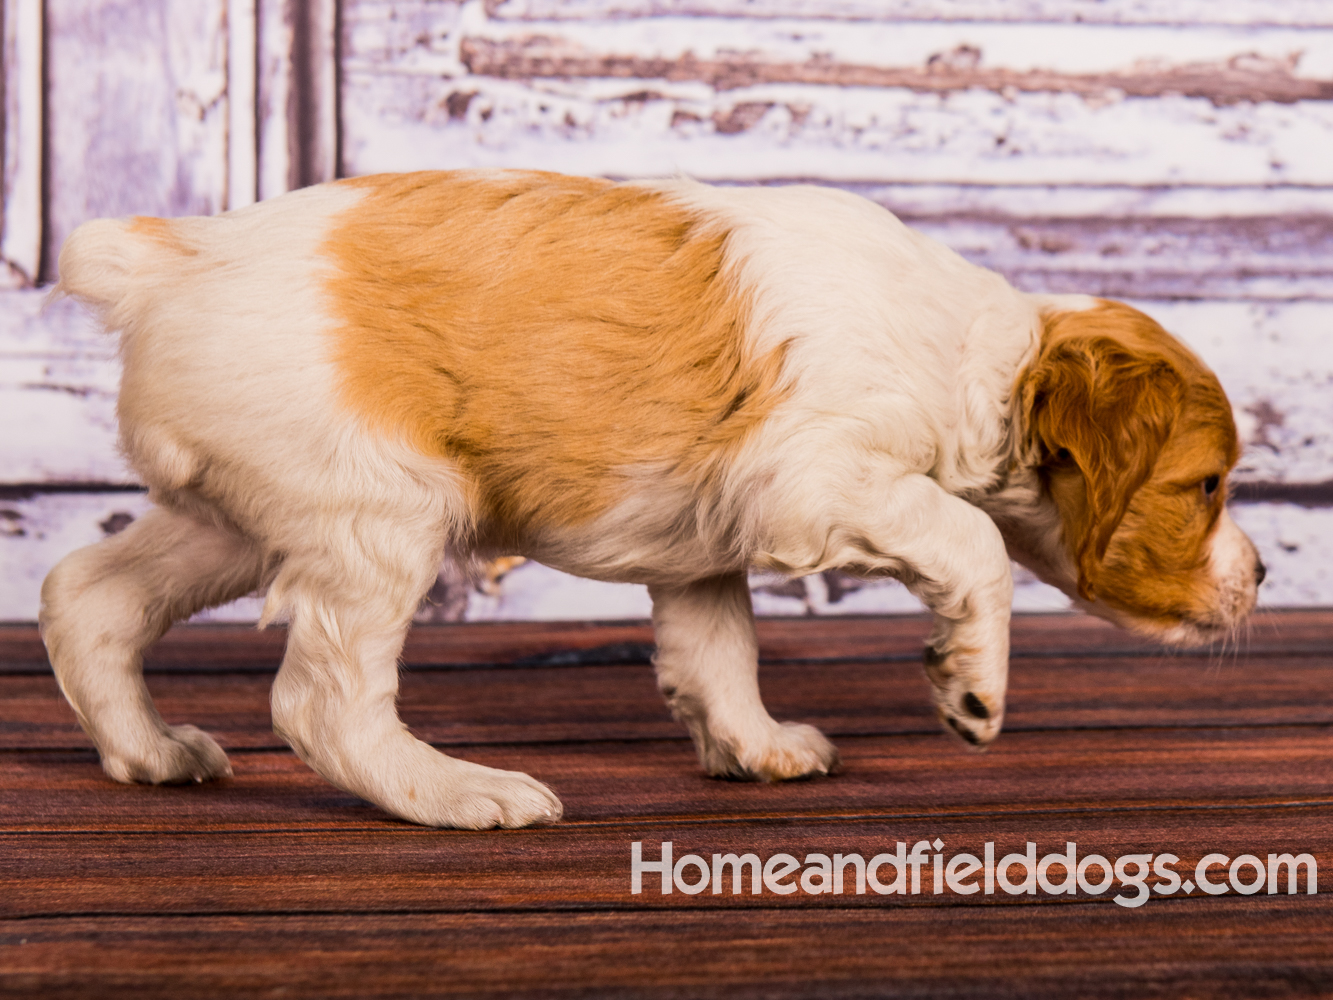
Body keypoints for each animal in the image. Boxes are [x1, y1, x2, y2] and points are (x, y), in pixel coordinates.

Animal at [38, 172, 1258, 832]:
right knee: (321, 701)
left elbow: (716, 650)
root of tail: (167, 262)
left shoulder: (704, 544)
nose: (1266, 573)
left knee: (87, 594)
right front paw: (972, 690)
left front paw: (755, 745)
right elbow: (966, 538)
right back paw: (455, 792)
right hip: (376, 512)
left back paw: (149, 753)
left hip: (240, 513)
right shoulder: (814, 475)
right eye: (1204, 487)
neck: (973, 353)